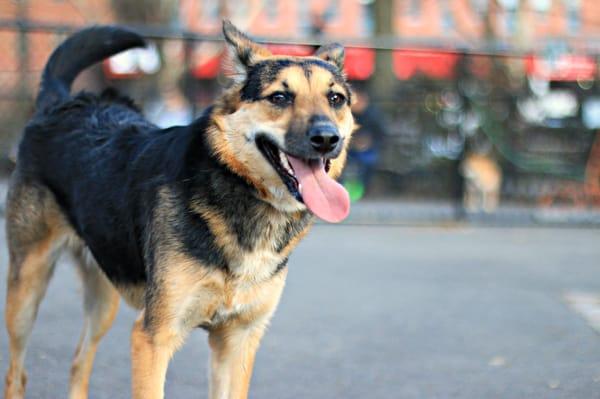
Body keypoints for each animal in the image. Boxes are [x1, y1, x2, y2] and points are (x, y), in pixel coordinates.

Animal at [3, 21, 352, 399]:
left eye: (336, 99)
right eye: (280, 97)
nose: (327, 139)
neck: (237, 189)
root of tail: (61, 103)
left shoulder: (237, 340)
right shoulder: (153, 337)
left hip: (104, 298)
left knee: (79, 362)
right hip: (26, 290)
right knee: (17, 373)